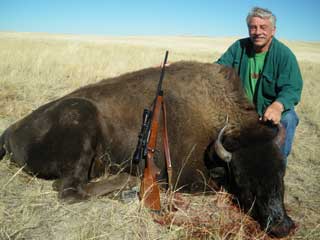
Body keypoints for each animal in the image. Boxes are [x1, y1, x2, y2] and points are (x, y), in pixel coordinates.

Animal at [0, 61, 294, 237]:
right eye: (243, 179)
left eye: (281, 173)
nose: (282, 225)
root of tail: (10, 131)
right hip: (81, 118)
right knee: (70, 190)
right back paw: (128, 184)